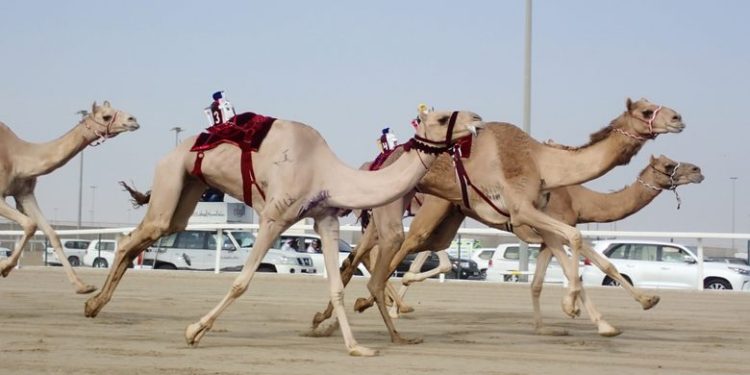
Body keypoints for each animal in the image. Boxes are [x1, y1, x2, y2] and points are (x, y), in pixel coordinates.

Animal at [0, 102, 140, 294]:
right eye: (106, 116)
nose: (133, 120)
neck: (18, 158)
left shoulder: (25, 194)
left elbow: (51, 233)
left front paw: (83, 286)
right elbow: (30, 225)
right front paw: (4, 267)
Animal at [81, 107, 482, 356]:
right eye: (443, 116)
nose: (477, 119)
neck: (327, 172)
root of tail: (176, 149)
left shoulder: (325, 218)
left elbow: (337, 285)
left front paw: (356, 347)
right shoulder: (274, 216)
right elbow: (241, 281)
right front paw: (194, 331)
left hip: (188, 190)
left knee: (152, 234)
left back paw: (94, 304)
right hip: (171, 175)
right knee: (134, 237)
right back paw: (91, 303)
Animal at [388, 154, 704, 336]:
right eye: (668, 165)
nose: (698, 170)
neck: (581, 200)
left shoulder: (547, 239)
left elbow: (547, 280)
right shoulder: (557, 230)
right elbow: (585, 271)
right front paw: (593, 317)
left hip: (447, 219)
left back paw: (396, 305)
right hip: (431, 214)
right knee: (402, 248)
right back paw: (389, 306)